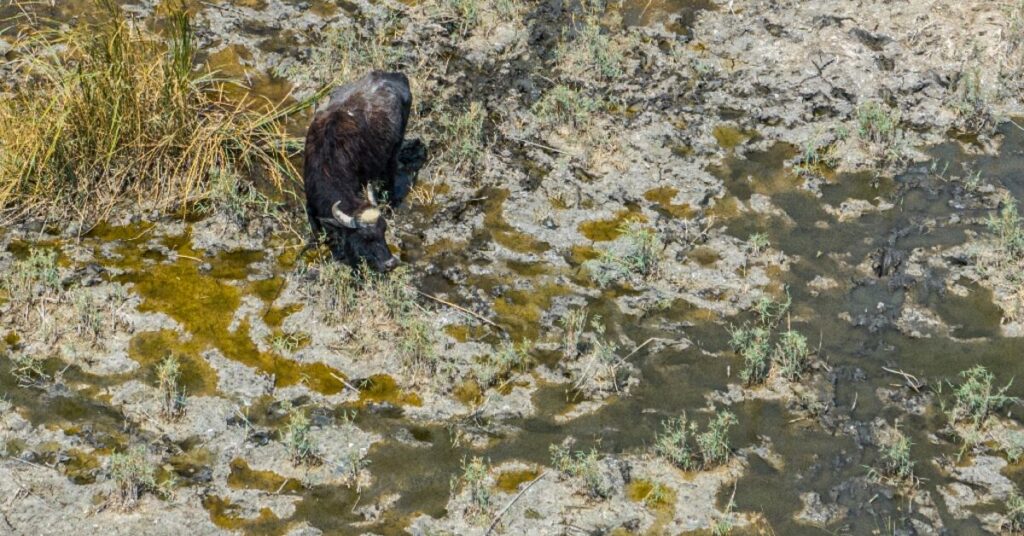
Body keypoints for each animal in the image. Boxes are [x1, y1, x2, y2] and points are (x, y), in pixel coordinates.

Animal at [303, 71, 412, 272]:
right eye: (366, 238)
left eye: (384, 230)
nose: (390, 263)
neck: (328, 161)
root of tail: (395, 75)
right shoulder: (311, 205)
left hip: (394, 150)